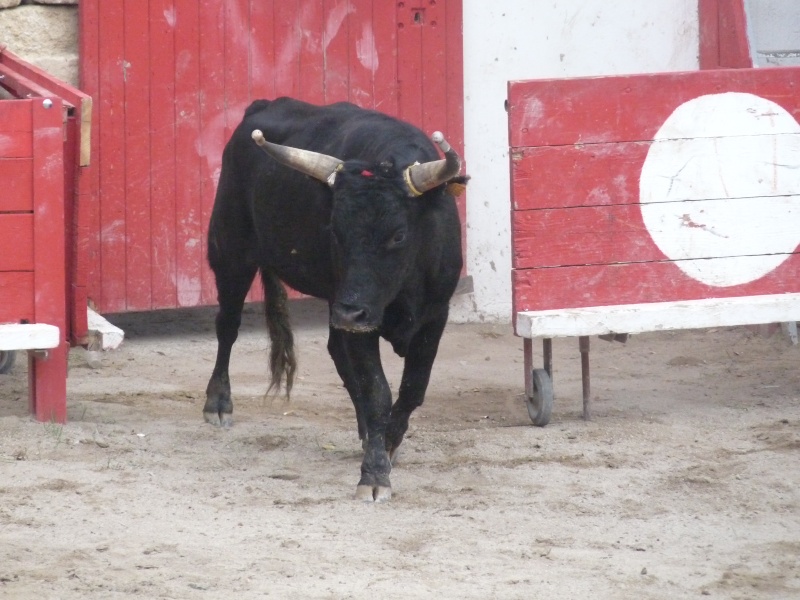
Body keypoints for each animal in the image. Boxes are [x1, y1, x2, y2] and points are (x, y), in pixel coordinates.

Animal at [206, 98, 466, 502]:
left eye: (398, 235)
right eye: (335, 231)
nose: (349, 312)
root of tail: (263, 105)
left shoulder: (435, 315)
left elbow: (412, 389)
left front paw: (387, 444)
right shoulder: (361, 323)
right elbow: (377, 392)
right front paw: (375, 473)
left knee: (336, 352)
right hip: (230, 251)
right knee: (228, 325)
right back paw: (218, 403)